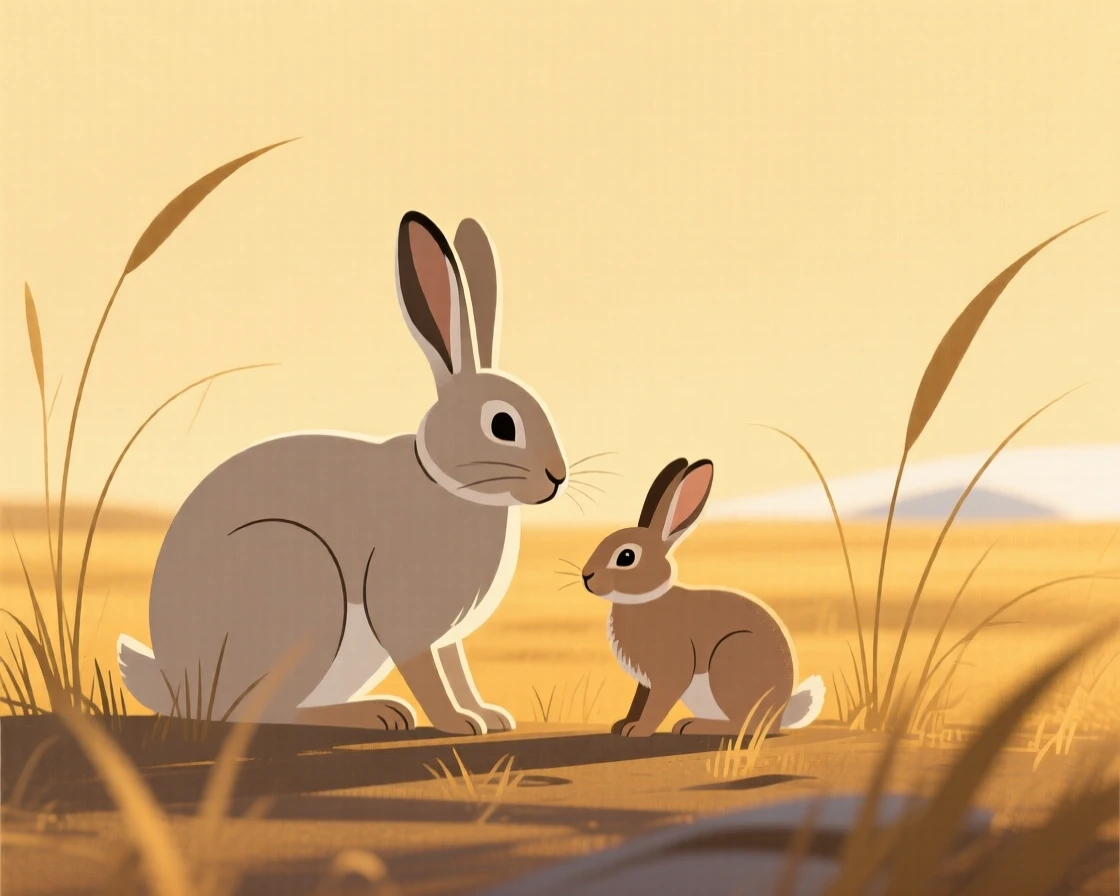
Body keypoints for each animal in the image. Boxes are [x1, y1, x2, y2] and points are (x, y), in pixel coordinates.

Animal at [117, 211, 568, 736]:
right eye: (502, 425)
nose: (557, 476)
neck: (448, 484)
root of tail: (175, 683)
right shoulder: (404, 616)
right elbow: (428, 673)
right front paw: (457, 723)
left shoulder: (449, 634)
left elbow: (456, 668)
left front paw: (489, 716)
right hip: (302, 593)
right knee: (261, 710)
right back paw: (377, 713)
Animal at [579, 457, 825, 737]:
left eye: (626, 557)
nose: (586, 576)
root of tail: (780, 714)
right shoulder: (647, 682)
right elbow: (640, 701)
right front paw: (623, 725)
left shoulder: (672, 671)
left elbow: (657, 704)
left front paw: (638, 730)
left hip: (728, 663)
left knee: (747, 725)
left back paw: (693, 726)